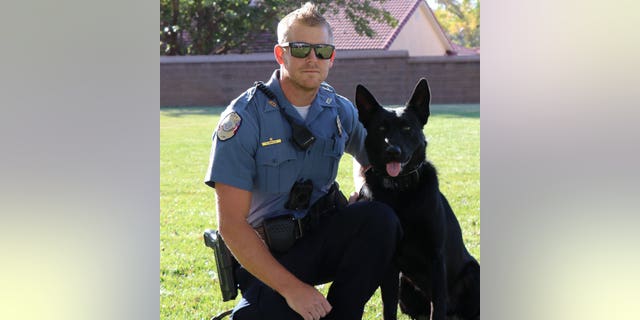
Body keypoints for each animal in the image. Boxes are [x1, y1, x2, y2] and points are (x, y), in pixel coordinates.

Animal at [356, 79, 480, 318]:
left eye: (407, 128)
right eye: (381, 129)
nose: (392, 151)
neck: (400, 191)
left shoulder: (436, 257)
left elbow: (437, 308)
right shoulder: (391, 267)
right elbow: (388, 308)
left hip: (473, 273)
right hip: (405, 287)